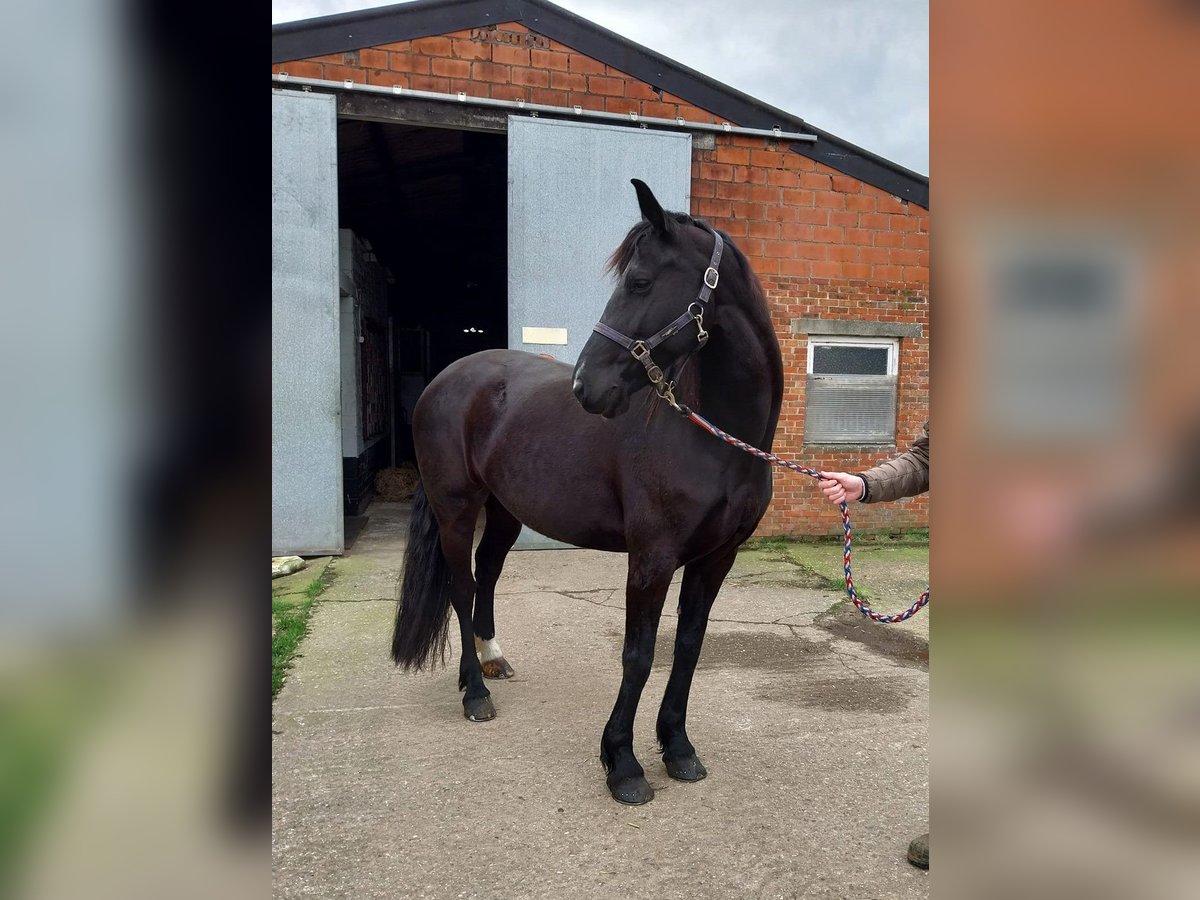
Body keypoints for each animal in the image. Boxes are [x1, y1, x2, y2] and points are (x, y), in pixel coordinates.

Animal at [393, 181, 787, 801]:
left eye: (640, 282)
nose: (586, 386)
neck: (715, 440)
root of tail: (446, 380)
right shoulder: (651, 559)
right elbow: (639, 655)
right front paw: (622, 762)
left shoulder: (716, 559)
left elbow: (688, 648)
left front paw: (678, 747)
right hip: (455, 509)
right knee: (460, 586)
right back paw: (475, 693)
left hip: (504, 513)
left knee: (486, 575)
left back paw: (488, 662)